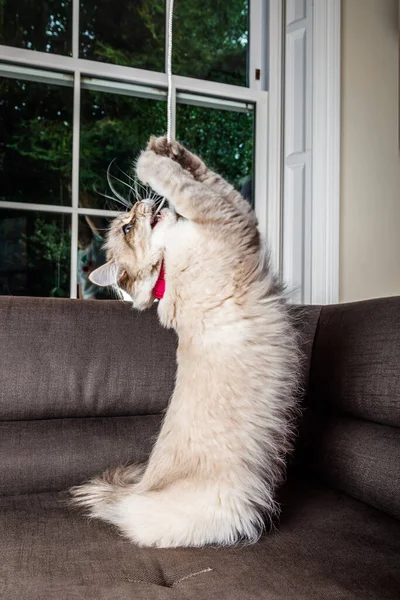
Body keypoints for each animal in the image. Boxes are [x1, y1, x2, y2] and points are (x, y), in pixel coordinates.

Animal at [70, 136, 298, 548]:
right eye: (128, 227)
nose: (140, 206)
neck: (165, 271)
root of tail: (134, 491)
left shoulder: (231, 214)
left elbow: (203, 175)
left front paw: (166, 147)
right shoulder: (227, 219)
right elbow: (187, 186)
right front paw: (149, 162)